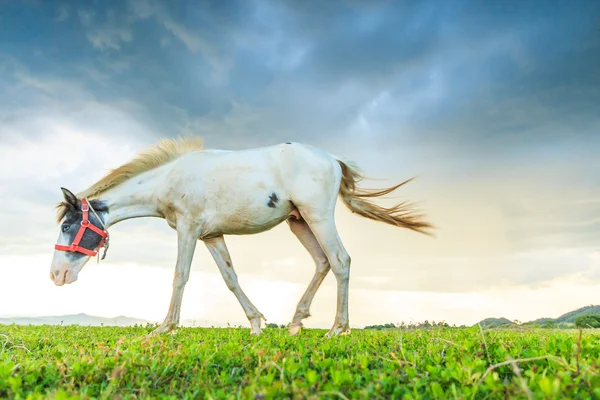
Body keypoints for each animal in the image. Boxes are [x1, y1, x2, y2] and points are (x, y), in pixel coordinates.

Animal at [48, 136, 432, 336]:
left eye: (67, 225)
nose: (56, 275)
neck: (169, 179)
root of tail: (333, 159)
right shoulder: (212, 236)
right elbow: (230, 278)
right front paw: (257, 324)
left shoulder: (188, 230)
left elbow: (179, 276)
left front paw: (165, 328)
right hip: (299, 222)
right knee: (322, 262)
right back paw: (295, 322)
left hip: (318, 217)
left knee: (340, 261)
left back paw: (338, 328)